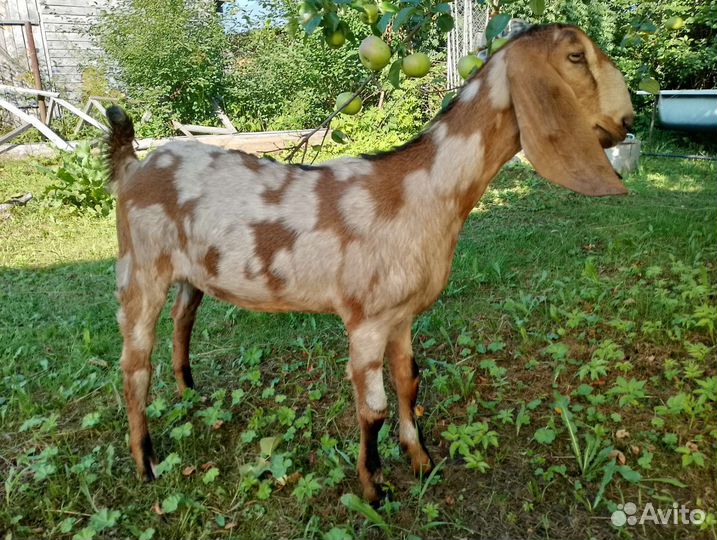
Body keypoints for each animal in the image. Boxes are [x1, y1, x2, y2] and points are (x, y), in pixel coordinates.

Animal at [106, 24, 633, 503]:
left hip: (189, 273)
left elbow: (410, 380)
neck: (419, 191)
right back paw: (146, 461)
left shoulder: (402, 314)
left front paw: (419, 459)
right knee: (134, 364)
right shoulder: (366, 317)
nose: (627, 121)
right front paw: (373, 487)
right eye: (575, 56)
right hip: (140, 267)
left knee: (183, 318)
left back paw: (189, 392)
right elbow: (373, 407)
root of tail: (134, 167)